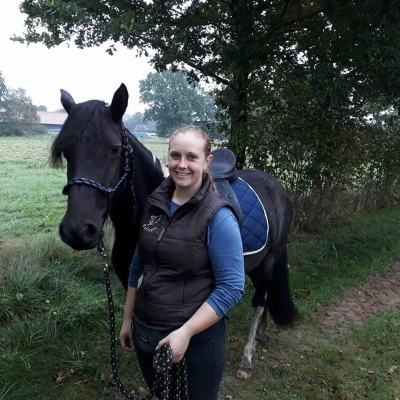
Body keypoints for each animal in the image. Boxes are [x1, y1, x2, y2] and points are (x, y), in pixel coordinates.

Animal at [50, 83, 296, 370]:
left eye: (114, 149)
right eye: (66, 152)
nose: (77, 231)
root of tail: (276, 186)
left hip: (269, 260)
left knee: (258, 302)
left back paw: (247, 354)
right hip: (255, 263)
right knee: (263, 297)